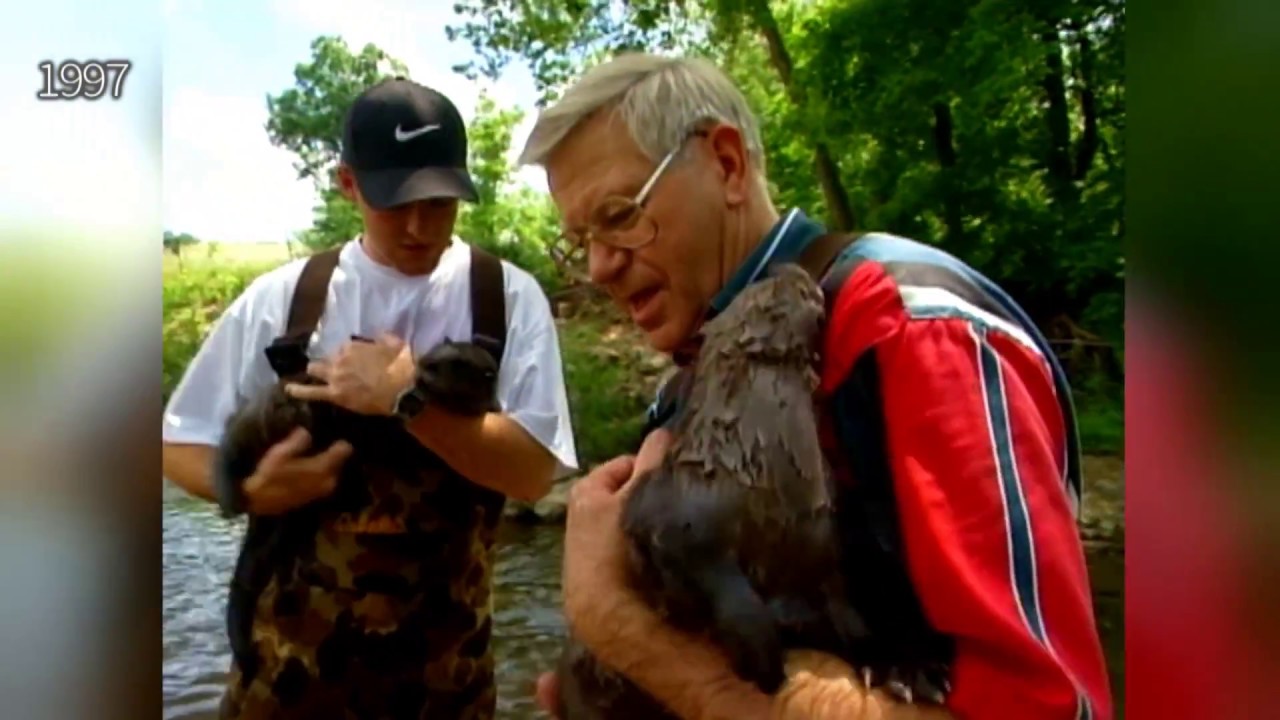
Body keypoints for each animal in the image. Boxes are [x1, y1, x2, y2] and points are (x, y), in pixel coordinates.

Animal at [211, 338, 500, 682]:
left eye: (457, 363)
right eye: (430, 353)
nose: (425, 365)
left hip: (285, 520)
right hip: (260, 417)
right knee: (228, 449)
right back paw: (229, 499)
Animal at [555, 263, 951, 719]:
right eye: (765, 294)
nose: (790, 269)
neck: (765, 477)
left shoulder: (823, 551)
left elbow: (848, 614)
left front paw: (907, 666)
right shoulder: (680, 522)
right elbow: (722, 589)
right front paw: (762, 659)